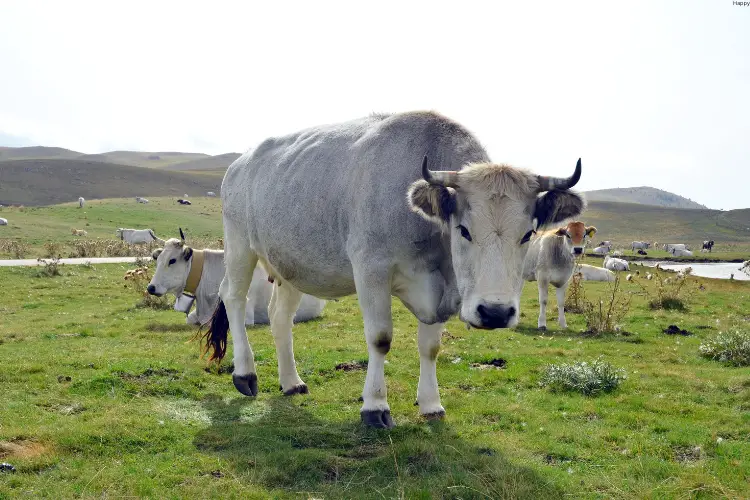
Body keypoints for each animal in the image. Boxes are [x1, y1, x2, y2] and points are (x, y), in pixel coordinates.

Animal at [201, 111, 588, 428]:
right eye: (464, 230)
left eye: (528, 234)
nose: (494, 312)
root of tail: (240, 163)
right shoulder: (371, 270)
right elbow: (380, 338)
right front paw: (375, 406)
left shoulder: (444, 288)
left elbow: (430, 347)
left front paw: (431, 403)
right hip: (239, 244)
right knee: (233, 297)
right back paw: (245, 373)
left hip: (291, 264)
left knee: (280, 317)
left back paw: (291, 382)